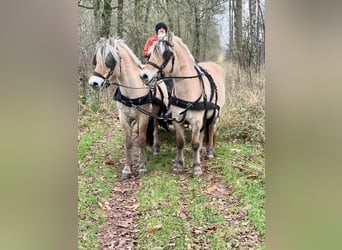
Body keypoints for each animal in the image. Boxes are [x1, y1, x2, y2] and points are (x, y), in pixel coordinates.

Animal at [88, 37, 168, 179]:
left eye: (110, 60)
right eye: (96, 60)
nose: (93, 83)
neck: (132, 91)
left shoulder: (143, 116)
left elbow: (141, 140)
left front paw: (141, 167)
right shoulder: (124, 118)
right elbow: (129, 142)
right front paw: (127, 168)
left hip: (154, 113)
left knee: (155, 128)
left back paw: (155, 148)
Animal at [140, 31, 226, 176]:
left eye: (165, 54)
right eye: (150, 53)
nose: (144, 76)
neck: (187, 87)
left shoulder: (196, 120)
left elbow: (194, 144)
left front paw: (196, 167)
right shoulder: (178, 120)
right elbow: (180, 142)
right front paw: (178, 166)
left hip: (214, 115)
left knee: (211, 129)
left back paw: (209, 152)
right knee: (203, 132)